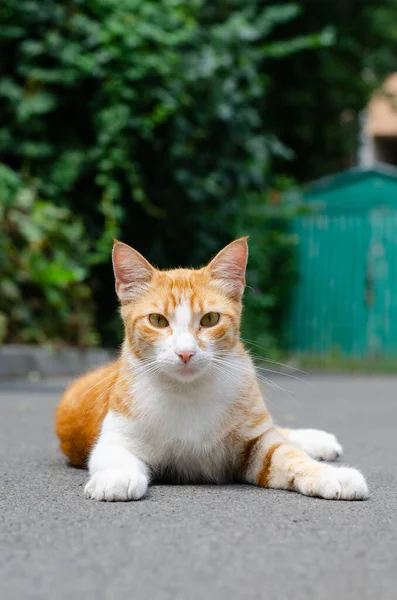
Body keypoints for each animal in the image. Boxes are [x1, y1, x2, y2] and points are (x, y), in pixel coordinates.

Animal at [55, 239, 368, 502]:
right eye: (157, 320)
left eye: (209, 319)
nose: (185, 352)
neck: (188, 392)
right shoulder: (116, 436)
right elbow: (113, 455)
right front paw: (116, 478)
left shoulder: (256, 443)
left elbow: (289, 455)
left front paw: (330, 474)